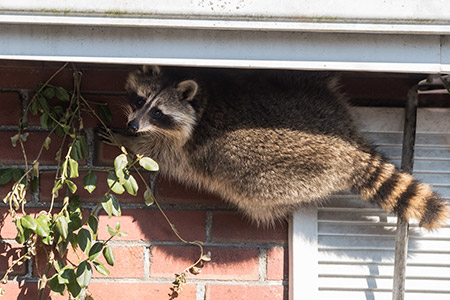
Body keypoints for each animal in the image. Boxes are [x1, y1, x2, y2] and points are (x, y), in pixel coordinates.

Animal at [106, 65, 450, 230]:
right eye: (139, 99)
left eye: (158, 113)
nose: (132, 126)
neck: (202, 100)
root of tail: (349, 150)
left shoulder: (184, 148)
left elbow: (158, 155)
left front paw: (125, 141)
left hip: (278, 177)